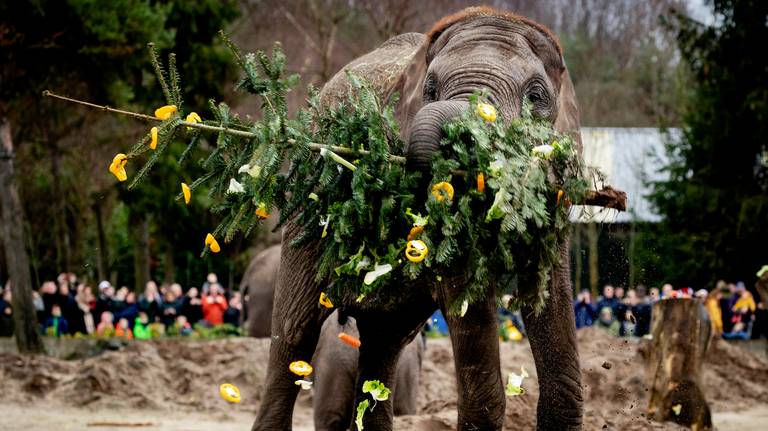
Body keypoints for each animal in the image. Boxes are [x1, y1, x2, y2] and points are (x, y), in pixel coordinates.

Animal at [252, 5, 584, 430]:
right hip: (307, 209)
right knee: (294, 336)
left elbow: (550, 296)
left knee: (383, 349)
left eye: (536, 96)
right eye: (430, 91)